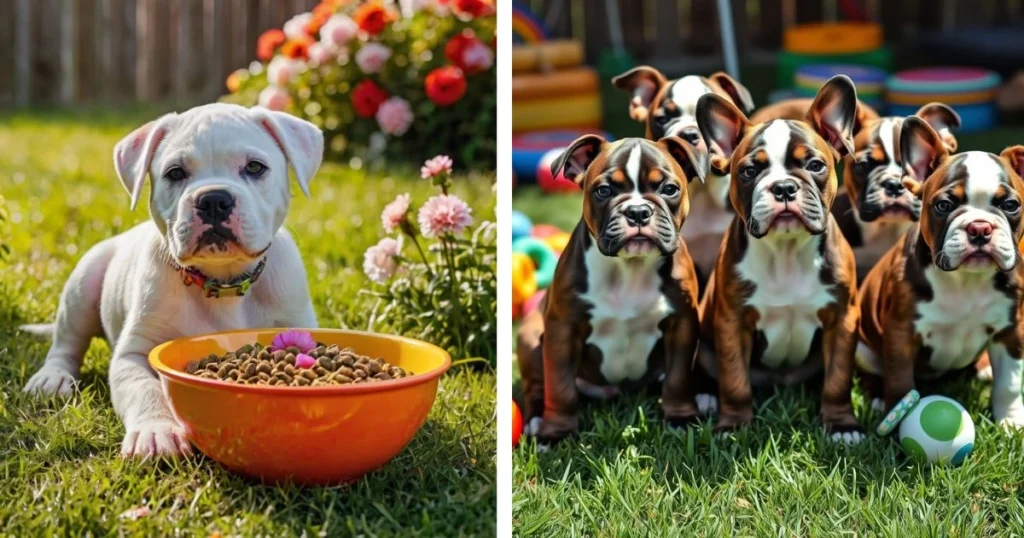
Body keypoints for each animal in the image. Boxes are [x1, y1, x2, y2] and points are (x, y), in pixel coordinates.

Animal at [24, 101, 321, 457]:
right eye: (175, 173)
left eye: (255, 167)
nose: (214, 199)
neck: (223, 282)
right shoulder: (133, 355)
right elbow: (145, 388)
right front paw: (156, 432)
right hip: (84, 282)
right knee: (67, 343)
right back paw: (52, 378)